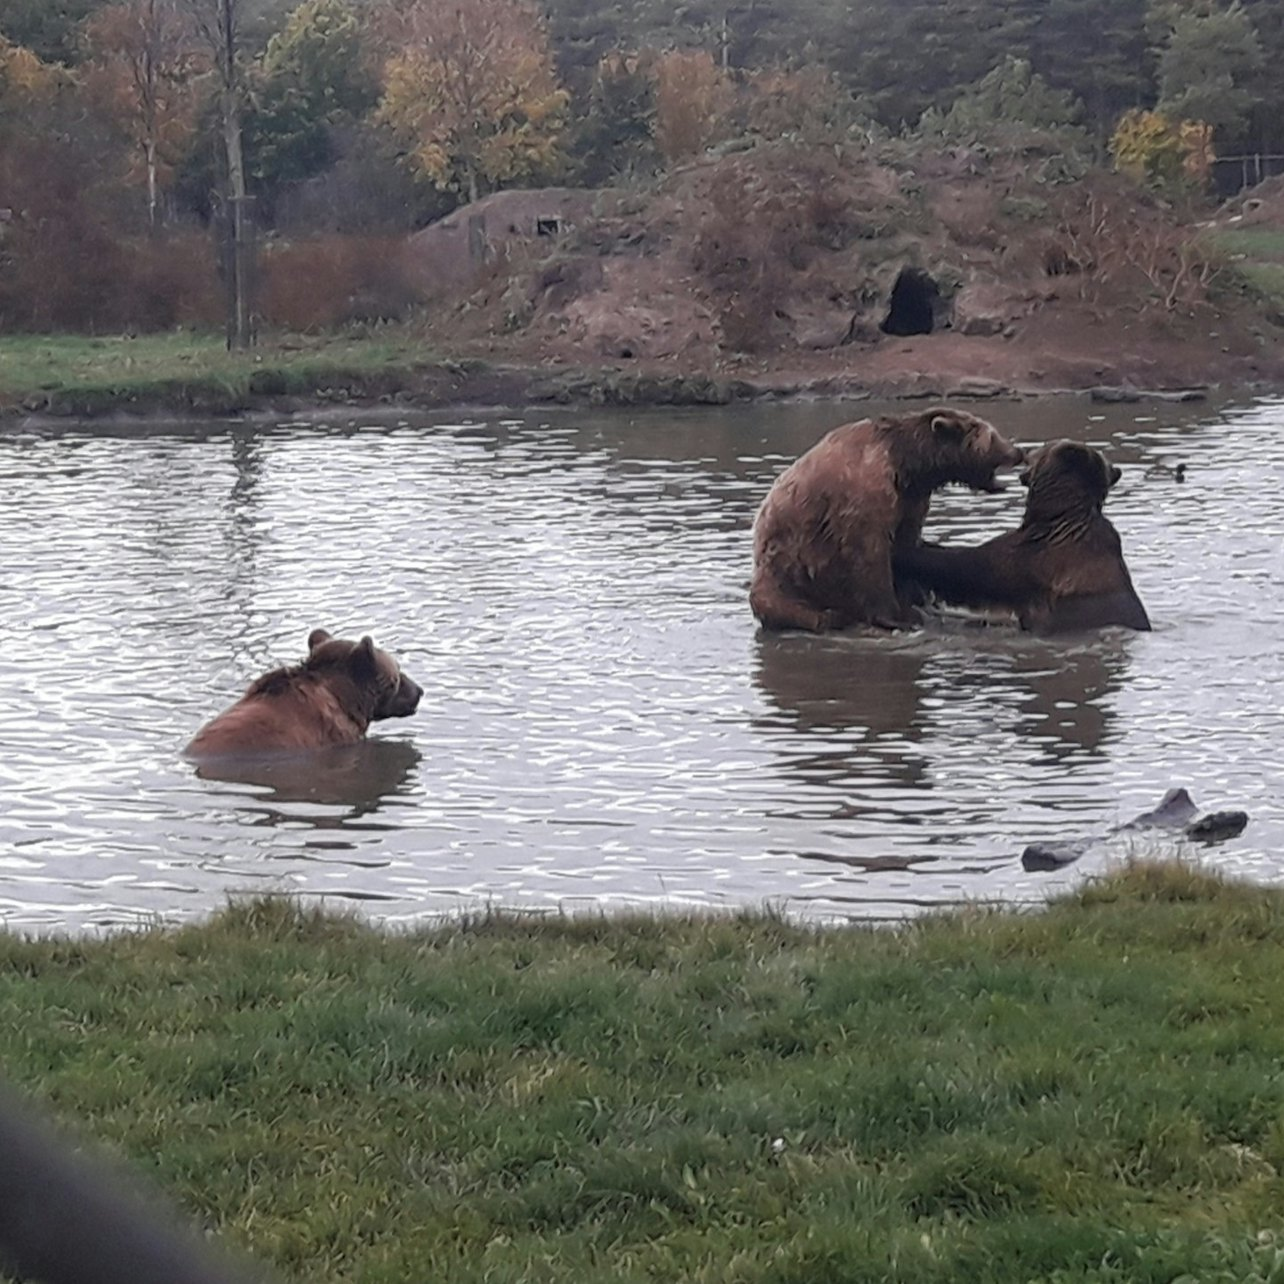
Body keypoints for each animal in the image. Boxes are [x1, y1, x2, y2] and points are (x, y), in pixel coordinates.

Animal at [749, 406, 1025, 631]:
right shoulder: (864, 493)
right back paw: (830, 617)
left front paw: (915, 601)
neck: (908, 464)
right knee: (785, 603)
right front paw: (897, 616)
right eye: (993, 435)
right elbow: (868, 552)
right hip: (784, 570)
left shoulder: (910, 499)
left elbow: (905, 546)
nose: (1018, 451)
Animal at [893, 439, 1151, 635]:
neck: (1059, 515)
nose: (1026, 451)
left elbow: (968, 567)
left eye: (1044, 448)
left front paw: (906, 550)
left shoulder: (1030, 561)